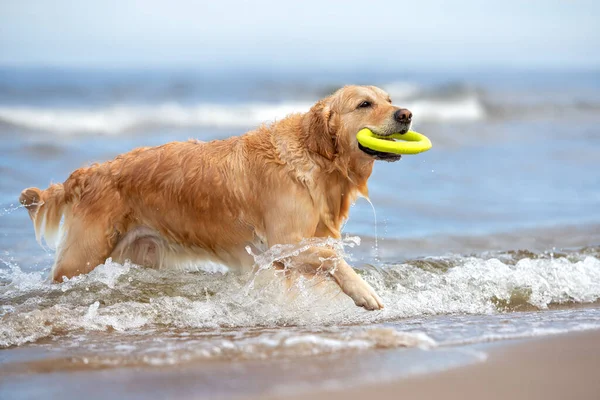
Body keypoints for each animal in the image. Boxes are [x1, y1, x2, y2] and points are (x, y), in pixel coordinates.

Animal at [19, 85, 412, 310]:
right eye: (364, 104)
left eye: (389, 100)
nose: (406, 114)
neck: (316, 157)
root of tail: (88, 172)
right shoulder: (282, 244)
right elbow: (333, 258)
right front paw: (365, 292)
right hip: (80, 259)